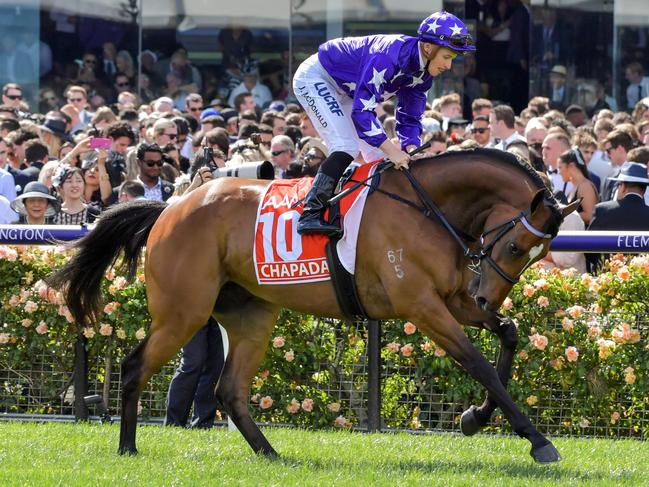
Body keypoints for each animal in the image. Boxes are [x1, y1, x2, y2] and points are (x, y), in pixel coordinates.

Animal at [49, 149, 576, 466]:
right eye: (516, 248)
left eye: (538, 256)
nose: (488, 293)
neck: (428, 209)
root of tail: (170, 208)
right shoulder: (424, 307)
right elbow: (479, 365)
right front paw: (537, 440)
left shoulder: (454, 301)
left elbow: (509, 334)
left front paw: (475, 418)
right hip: (184, 312)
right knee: (136, 366)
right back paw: (127, 447)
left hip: (251, 316)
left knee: (229, 390)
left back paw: (270, 455)